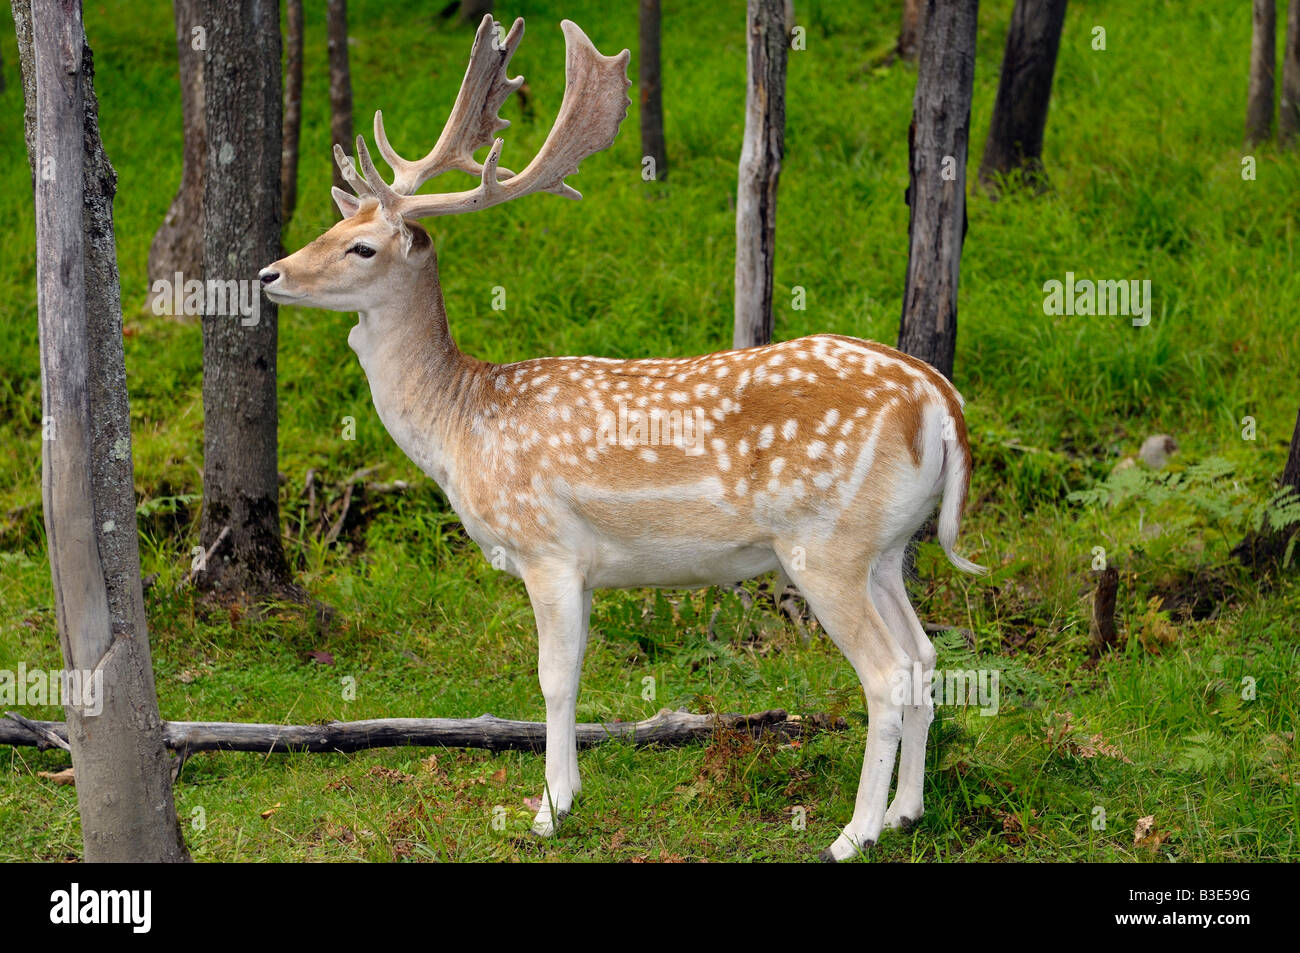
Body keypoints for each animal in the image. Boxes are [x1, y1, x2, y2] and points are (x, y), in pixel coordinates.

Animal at [258, 14, 977, 863]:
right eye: (333, 223)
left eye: (362, 246)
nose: (269, 273)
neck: (462, 420)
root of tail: (940, 399)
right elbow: (571, 674)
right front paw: (565, 794)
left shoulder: (547, 547)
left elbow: (553, 678)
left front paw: (548, 809)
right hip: (887, 546)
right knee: (926, 656)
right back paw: (907, 812)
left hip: (825, 544)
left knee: (887, 672)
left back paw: (853, 832)